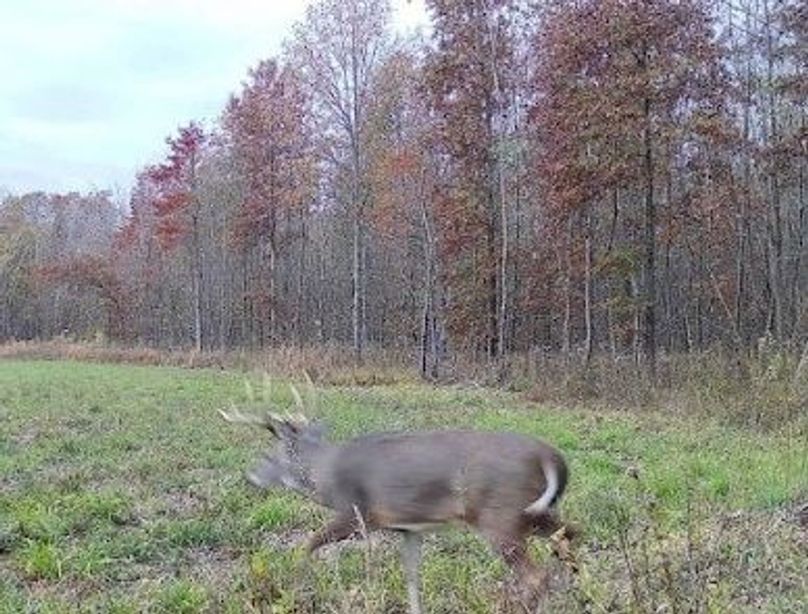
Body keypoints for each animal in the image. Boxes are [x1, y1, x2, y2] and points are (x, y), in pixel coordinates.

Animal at [220, 393, 574, 614]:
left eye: (268, 455)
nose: (251, 476)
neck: (326, 476)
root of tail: (548, 455)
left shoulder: (357, 513)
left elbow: (305, 547)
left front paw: (293, 589)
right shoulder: (408, 528)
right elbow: (412, 578)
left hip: (499, 515)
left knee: (537, 576)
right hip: (532, 513)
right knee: (570, 536)